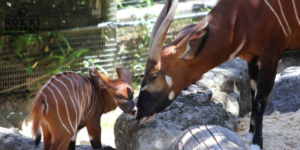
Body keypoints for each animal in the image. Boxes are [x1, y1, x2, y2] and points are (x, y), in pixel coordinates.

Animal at [136, 0, 300, 149]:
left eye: (154, 75)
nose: (139, 114)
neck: (242, 16)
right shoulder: (252, 59)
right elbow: (253, 94)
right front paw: (249, 135)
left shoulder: (271, 56)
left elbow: (260, 99)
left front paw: (256, 144)